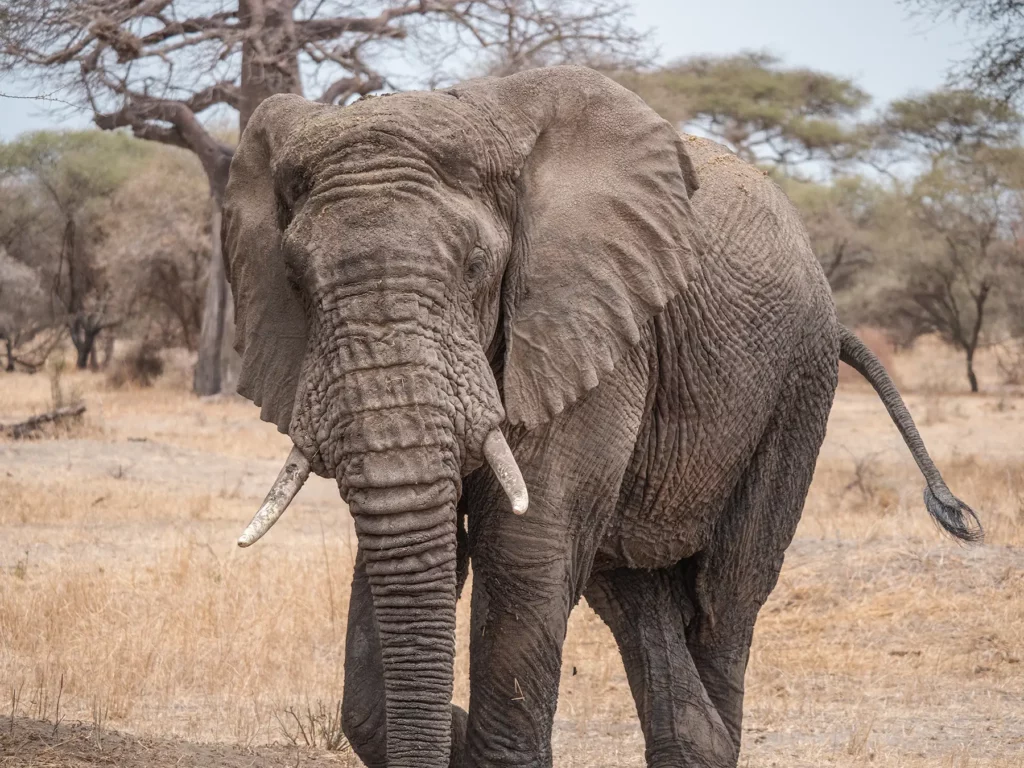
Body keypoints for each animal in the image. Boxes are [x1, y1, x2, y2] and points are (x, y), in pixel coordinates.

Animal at [222, 66, 980, 768]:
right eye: (296, 280)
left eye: (475, 266)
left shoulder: (594, 324)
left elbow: (524, 548)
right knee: (636, 594)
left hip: (796, 385)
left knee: (726, 598)